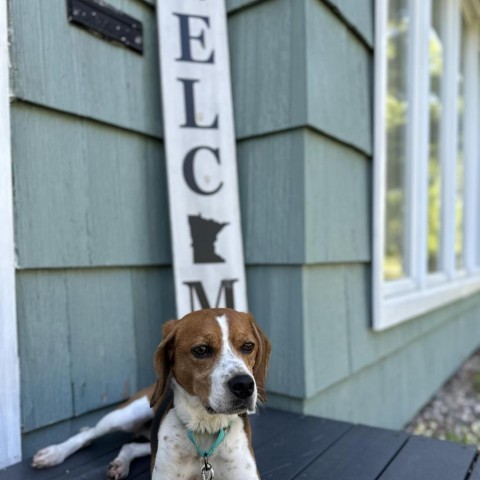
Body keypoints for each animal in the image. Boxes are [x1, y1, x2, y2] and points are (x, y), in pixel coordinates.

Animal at [30, 310, 270, 478]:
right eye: (201, 350)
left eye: (248, 346)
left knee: (130, 446)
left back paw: (120, 464)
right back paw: (54, 453)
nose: (244, 385)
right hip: (126, 415)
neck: (205, 430)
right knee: (89, 434)